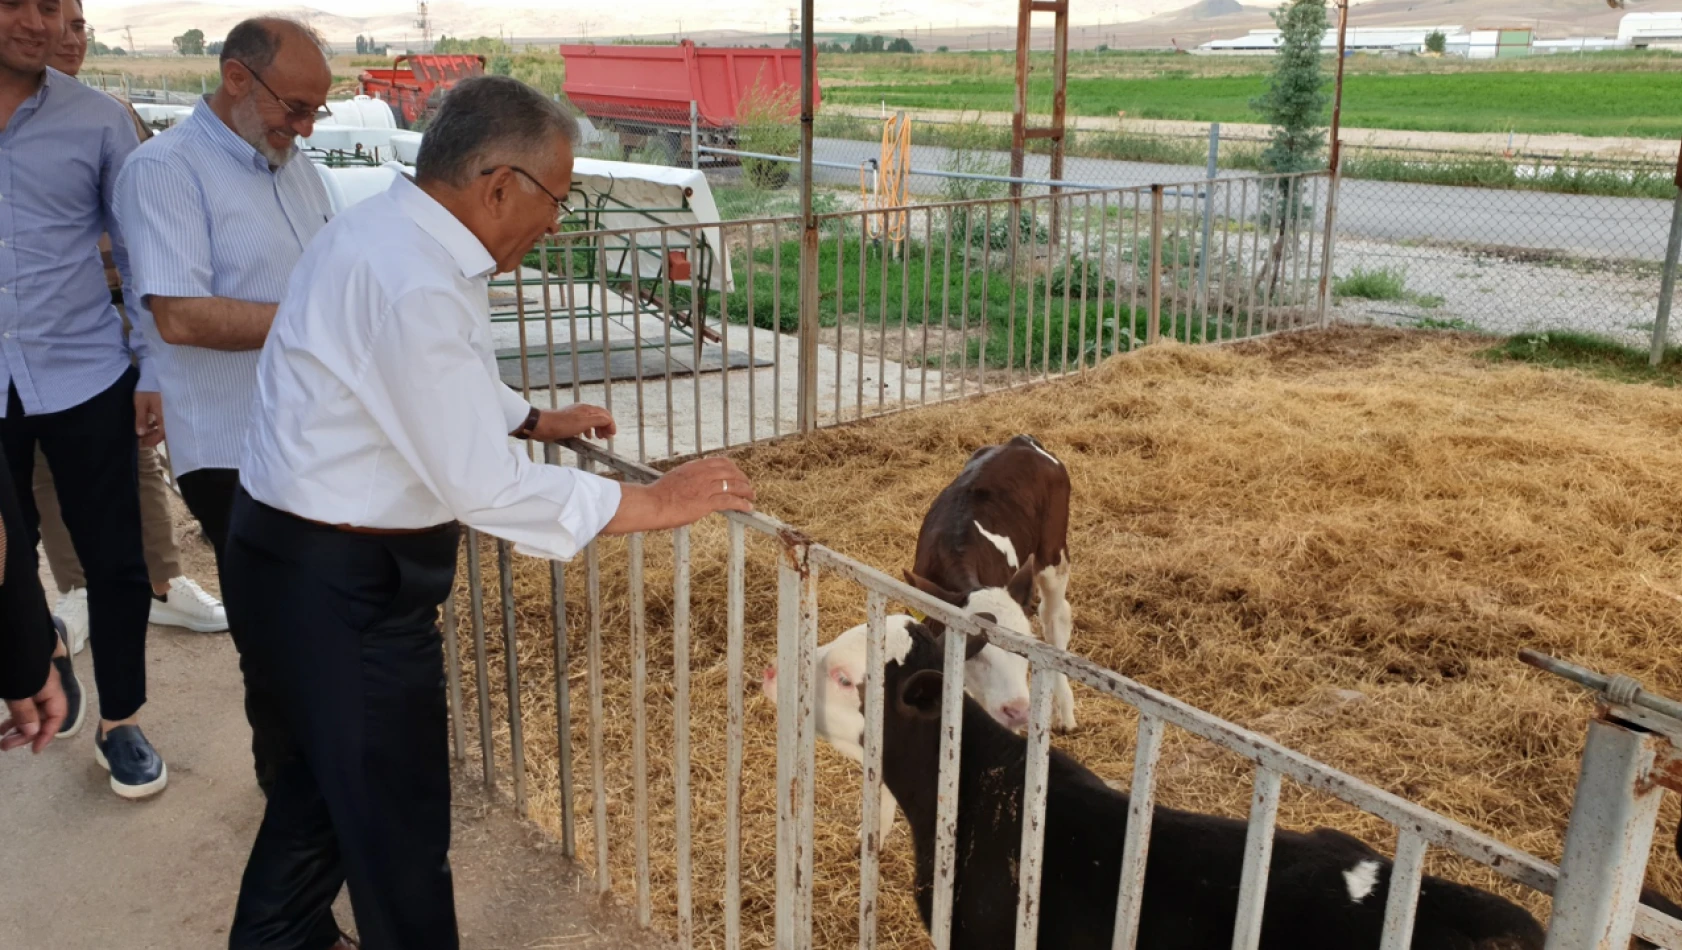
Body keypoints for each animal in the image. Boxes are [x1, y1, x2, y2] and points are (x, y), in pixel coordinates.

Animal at [908, 433, 1076, 729]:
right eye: (973, 650)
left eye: (1024, 649)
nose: (1018, 710)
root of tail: (1022, 441)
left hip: (1053, 553)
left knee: (1054, 617)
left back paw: (1064, 710)